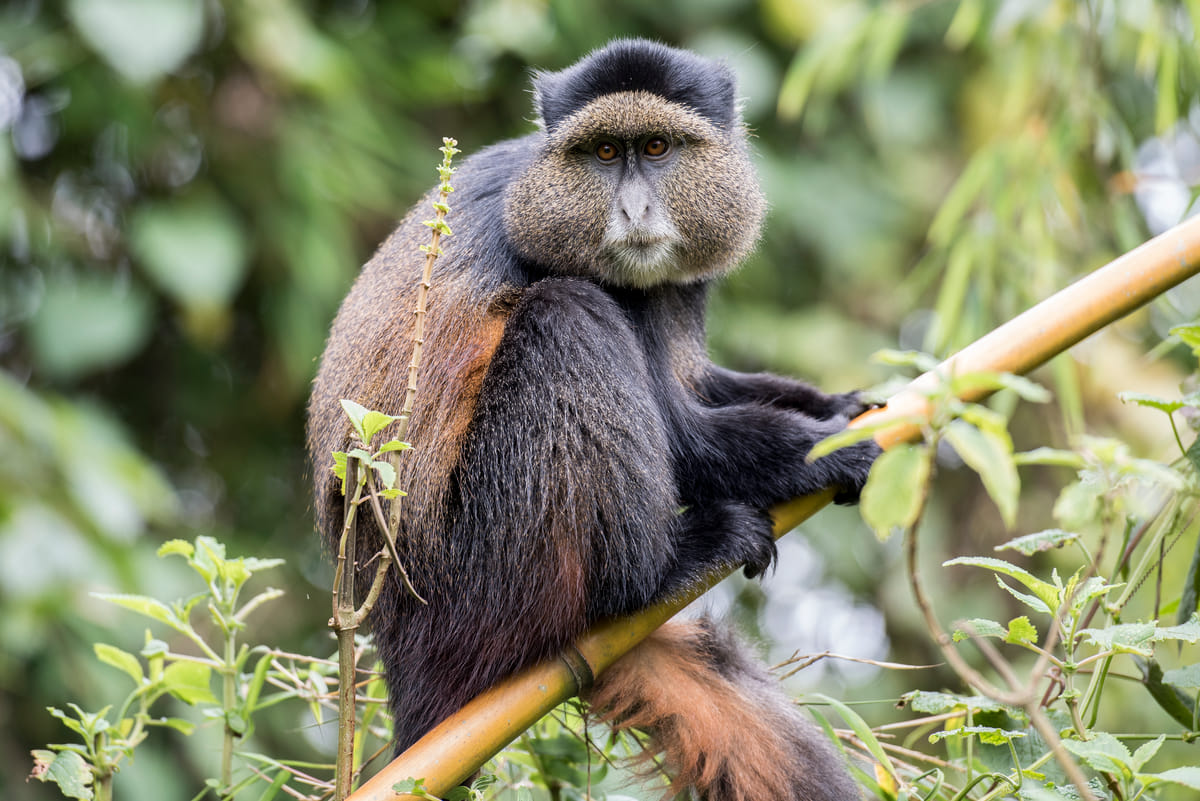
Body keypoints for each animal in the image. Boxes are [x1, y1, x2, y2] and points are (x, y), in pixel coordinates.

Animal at [307, 39, 877, 801]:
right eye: (605, 152)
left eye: (657, 147)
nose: (634, 208)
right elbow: (684, 435)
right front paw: (830, 451)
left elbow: (698, 384)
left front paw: (849, 406)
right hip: (487, 580)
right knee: (568, 315)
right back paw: (658, 571)